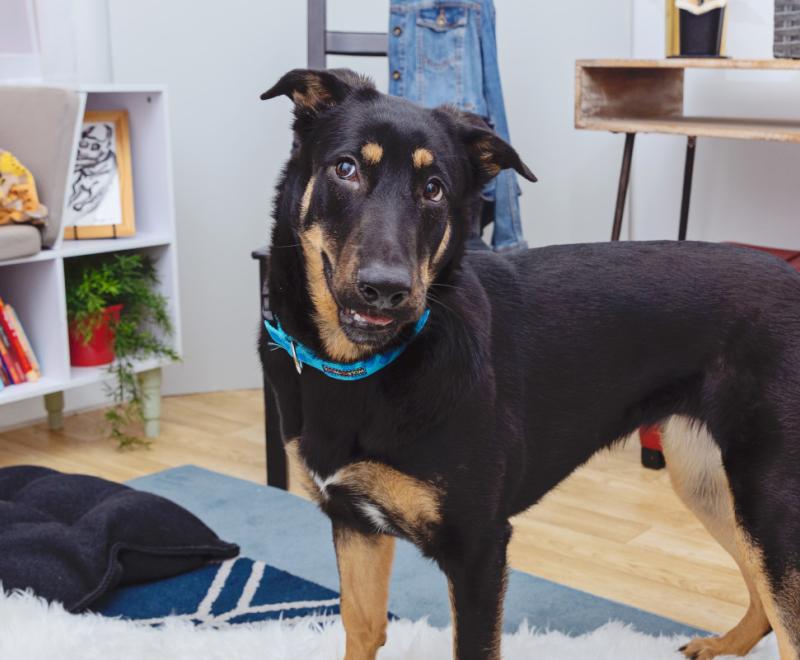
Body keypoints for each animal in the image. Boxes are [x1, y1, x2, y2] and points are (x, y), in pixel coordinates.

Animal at [260, 68, 796, 660]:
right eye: (346, 168)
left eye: (434, 188)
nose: (386, 290)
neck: (362, 368)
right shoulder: (355, 524)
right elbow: (362, 625)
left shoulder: (477, 549)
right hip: (709, 480)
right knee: (762, 595)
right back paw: (727, 642)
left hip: (768, 499)